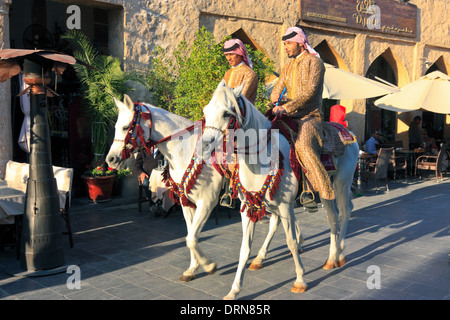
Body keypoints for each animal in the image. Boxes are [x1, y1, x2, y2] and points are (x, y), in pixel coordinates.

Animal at [200, 80, 358, 300]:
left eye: (226, 113)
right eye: (205, 111)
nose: (205, 145)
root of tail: (347, 132)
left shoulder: (284, 206)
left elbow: (290, 241)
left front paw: (300, 280)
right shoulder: (248, 208)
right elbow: (244, 248)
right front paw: (234, 289)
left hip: (340, 183)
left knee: (343, 213)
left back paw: (339, 254)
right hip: (323, 188)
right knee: (333, 217)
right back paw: (329, 258)